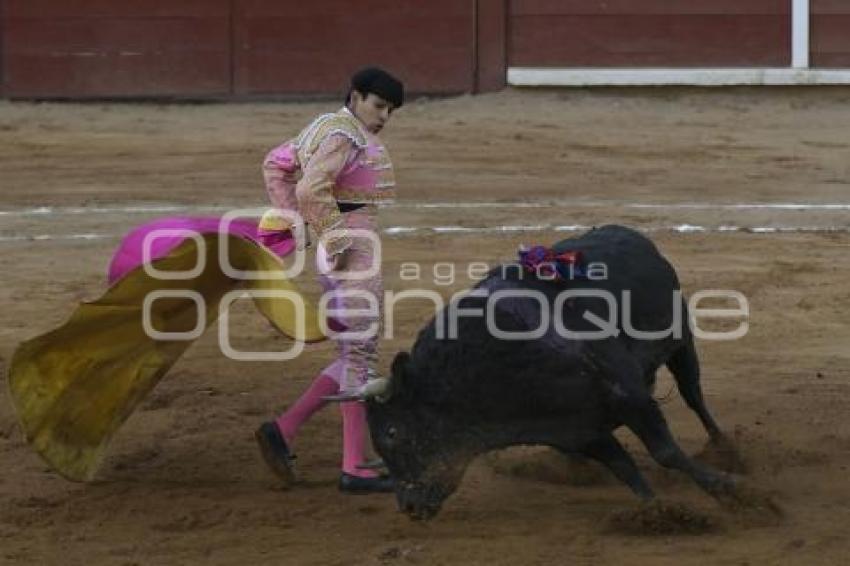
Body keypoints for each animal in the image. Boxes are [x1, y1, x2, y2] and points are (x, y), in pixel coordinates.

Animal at [364, 226, 736, 524]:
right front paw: (656, 511)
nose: (410, 507)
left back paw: (725, 449)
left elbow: (666, 452)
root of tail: (630, 235)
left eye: (392, 432)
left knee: (694, 395)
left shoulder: (629, 395)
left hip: (681, 342)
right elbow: (625, 469)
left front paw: (727, 489)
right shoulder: (578, 431)